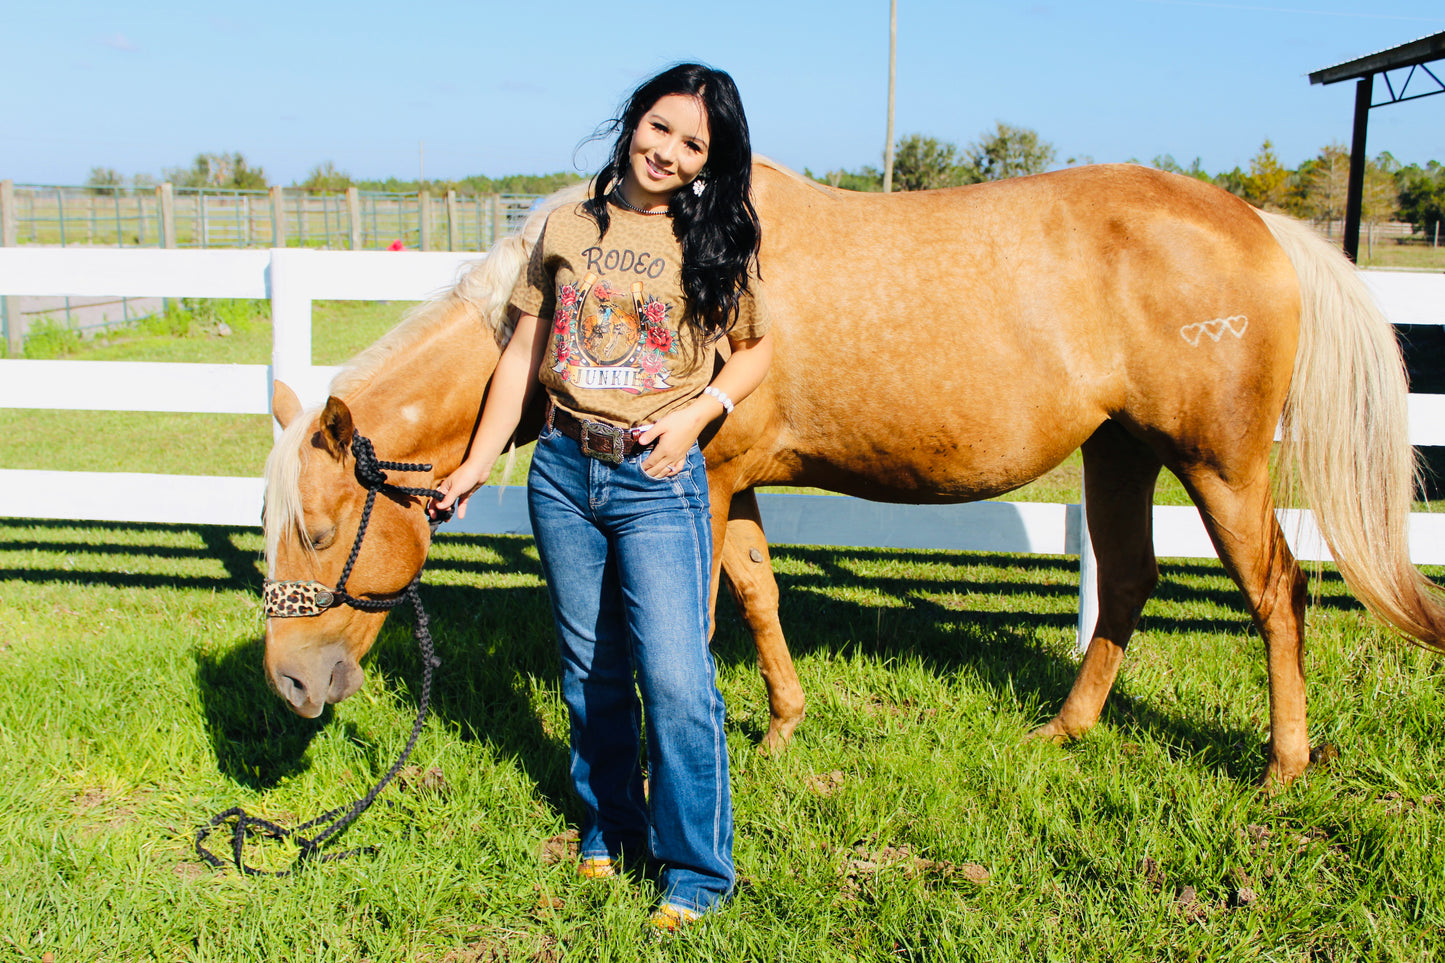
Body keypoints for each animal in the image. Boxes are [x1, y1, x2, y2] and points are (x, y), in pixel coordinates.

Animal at [262, 159, 1445, 786]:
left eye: (317, 529)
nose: (290, 685)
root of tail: (1260, 222)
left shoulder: (701, 478)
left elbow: (687, 618)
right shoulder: (730, 480)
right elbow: (755, 593)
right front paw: (782, 724)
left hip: (1219, 465)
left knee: (1275, 593)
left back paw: (1281, 763)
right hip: (1118, 452)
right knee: (1126, 584)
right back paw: (1063, 729)